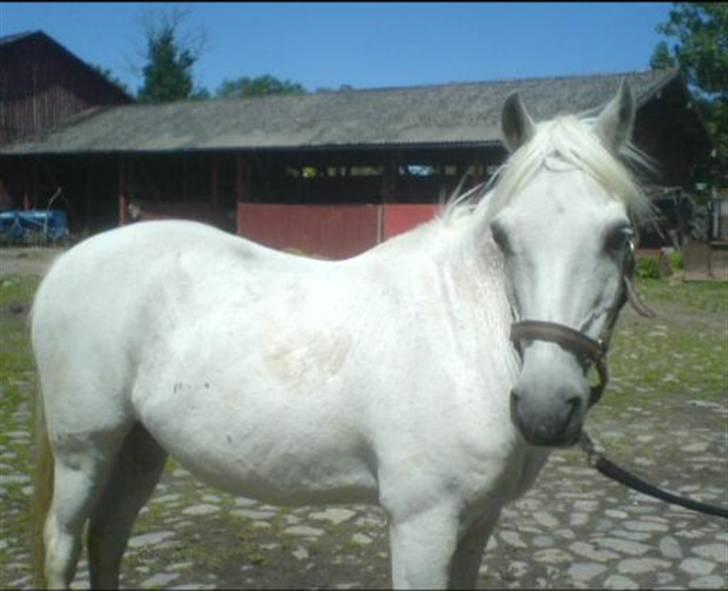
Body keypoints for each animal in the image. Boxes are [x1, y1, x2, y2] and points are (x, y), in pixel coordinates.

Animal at [29, 81, 651, 589]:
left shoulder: (479, 522)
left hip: (139, 448)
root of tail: (66, 265)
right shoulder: (422, 524)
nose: (544, 408)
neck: (465, 340)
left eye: (619, 236)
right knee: (63, 545)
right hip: (86, 450)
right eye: (502, 235)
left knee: (107, 540)